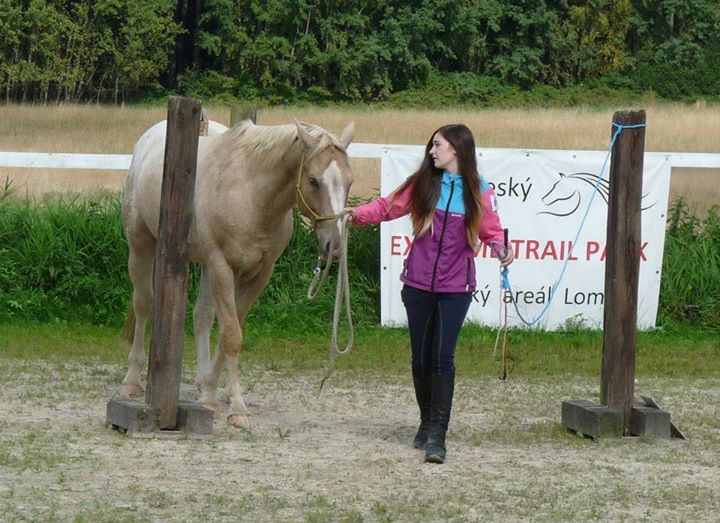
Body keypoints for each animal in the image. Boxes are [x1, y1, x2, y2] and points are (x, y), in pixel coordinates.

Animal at [119, 116, 354, 428]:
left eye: (349, 181)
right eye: (314, 181)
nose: (335, 246)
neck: (251, 194)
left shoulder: (258, 273)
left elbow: (229, 331)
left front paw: (211, 393)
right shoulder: (222, 266)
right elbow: (231, 335)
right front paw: (238, 408)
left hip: (202, 264)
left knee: (202, 316)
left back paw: (203, 381)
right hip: (142, 243)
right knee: (144, 303)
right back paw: (131, 380)